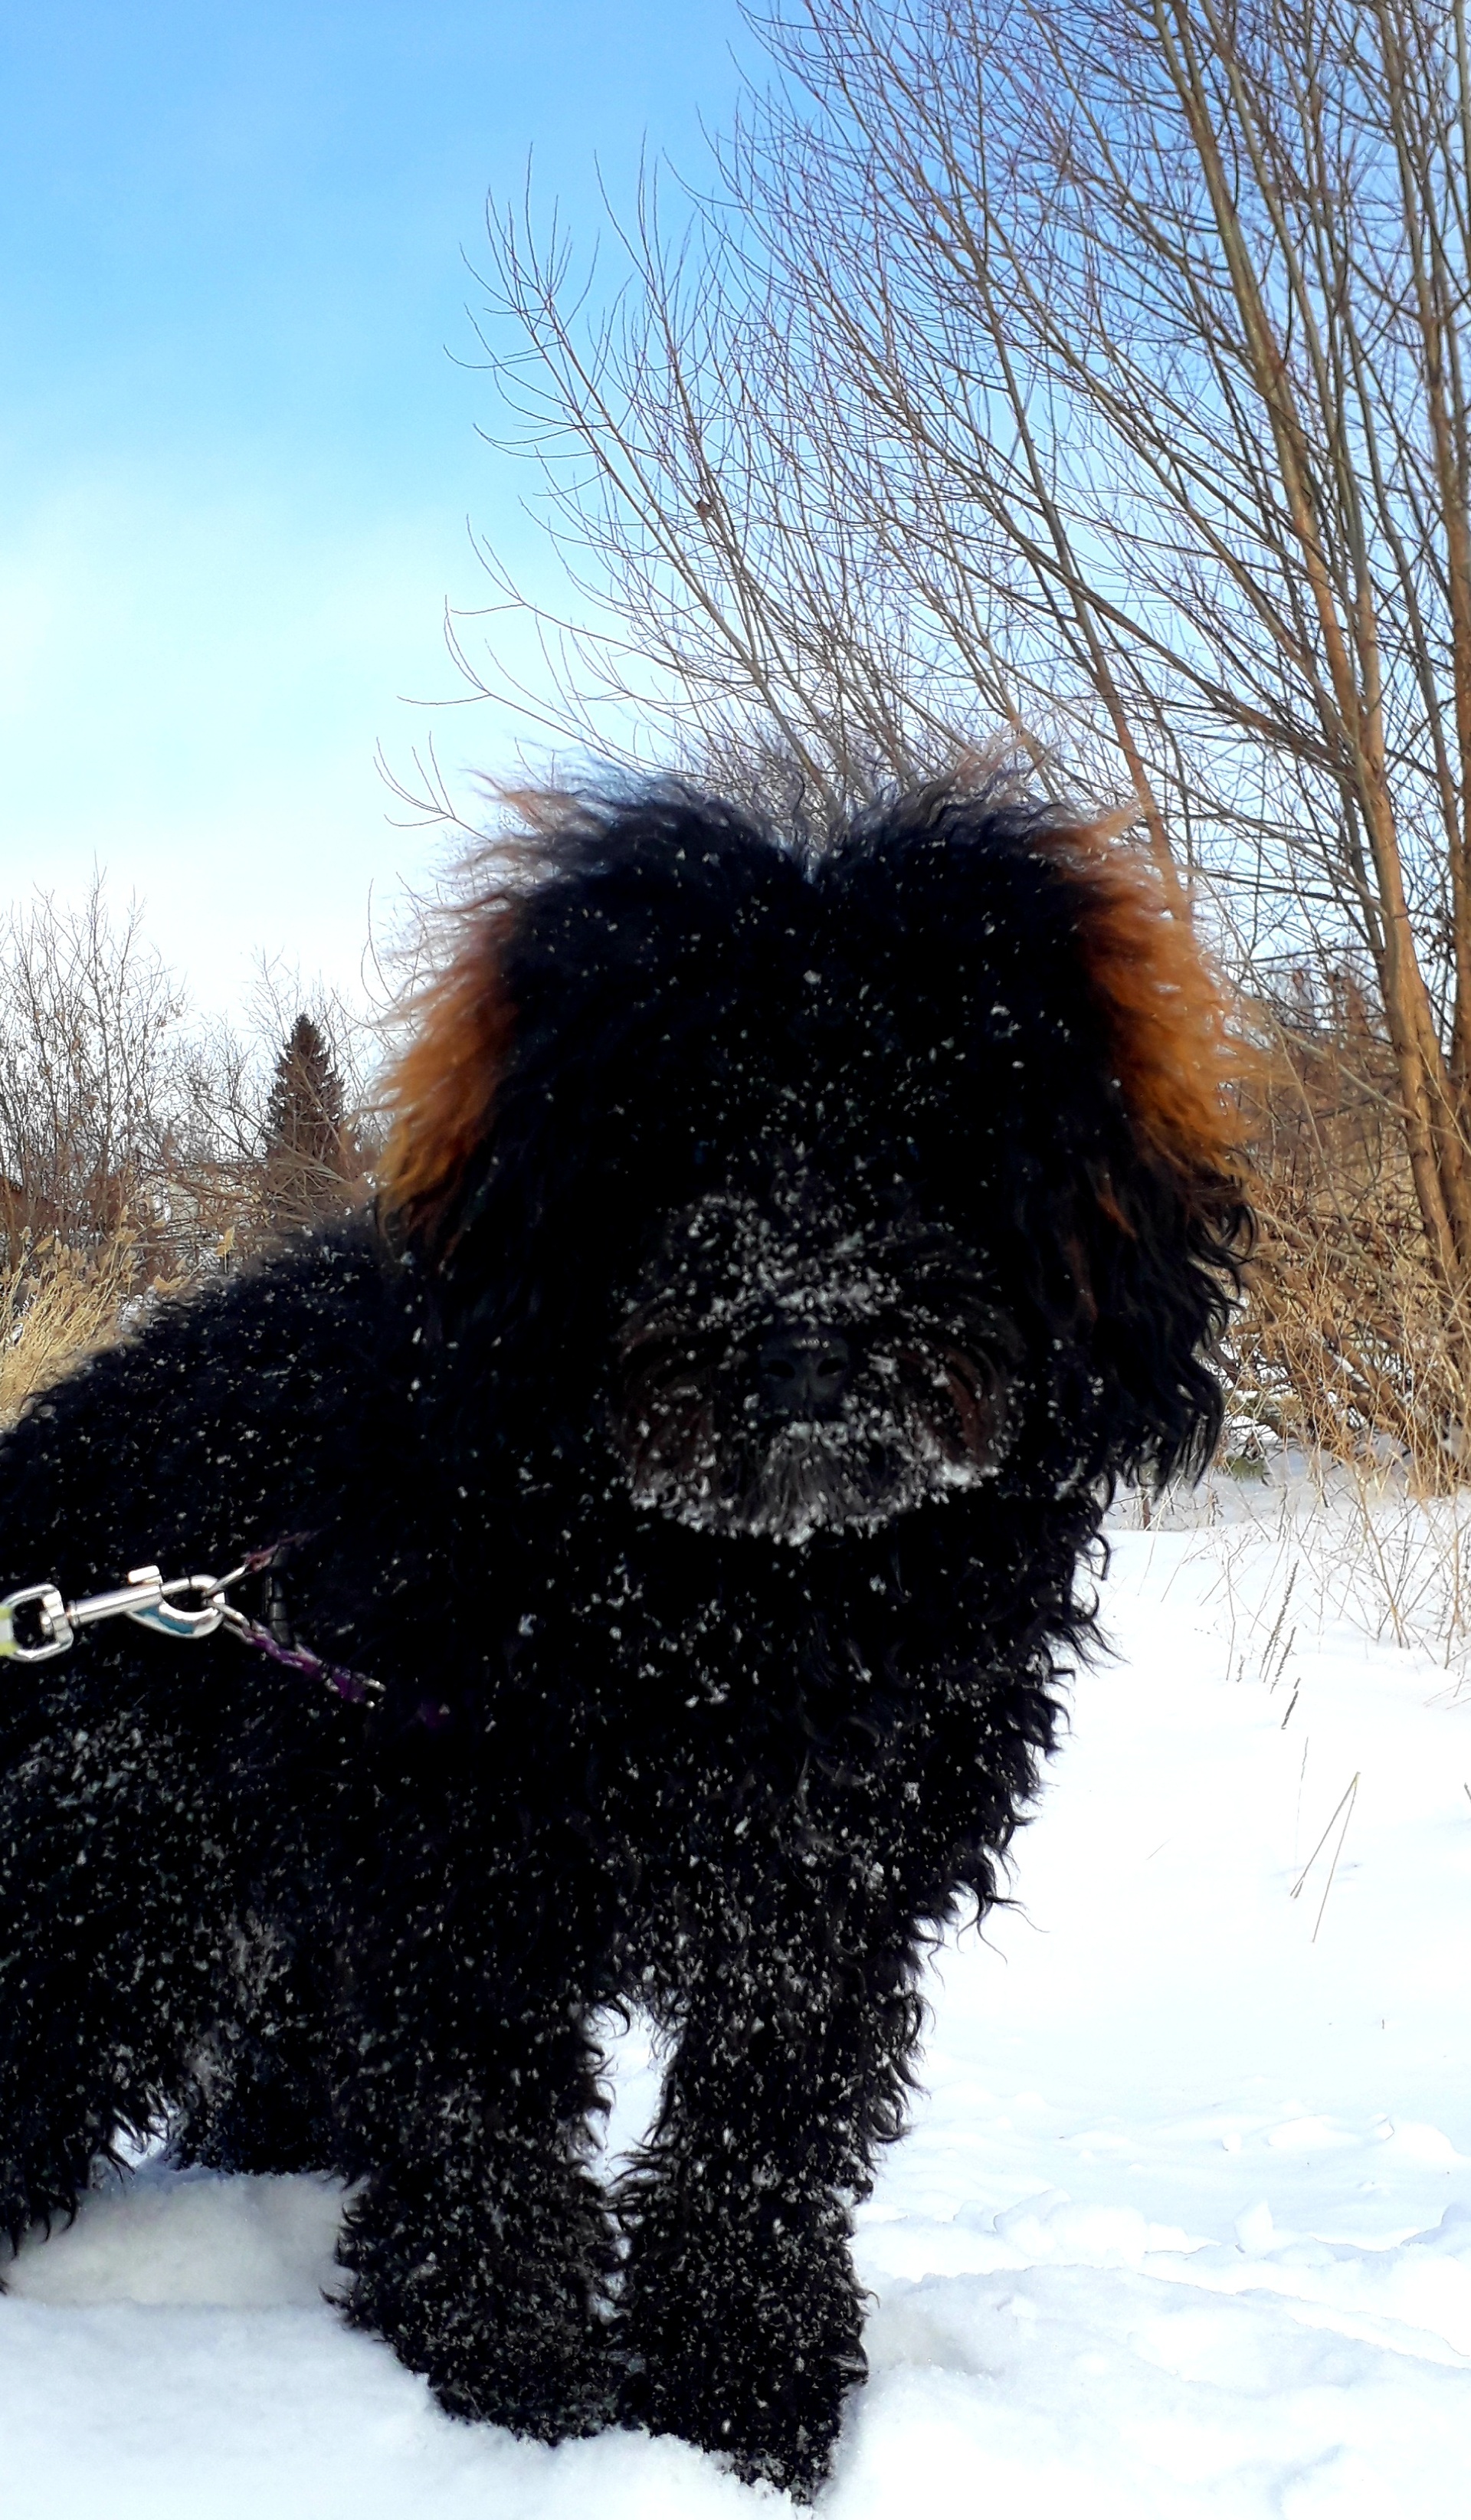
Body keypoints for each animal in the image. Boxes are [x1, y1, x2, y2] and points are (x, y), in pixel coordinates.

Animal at [0, 786, 1239, 2499]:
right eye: (685, 1130)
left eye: (926, 1127)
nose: (805, 1338)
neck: (725, 1610)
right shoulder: (464, 1883)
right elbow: (492, 2144)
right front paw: (526, 2402)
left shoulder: (830, 1895)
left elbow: (761, 2140)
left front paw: (745, 2396)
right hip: (115, 1871)